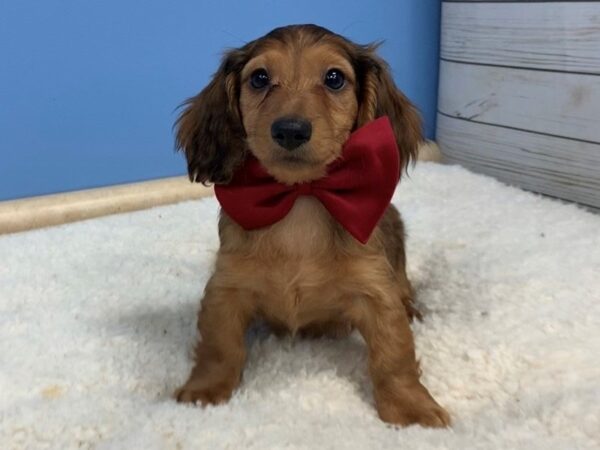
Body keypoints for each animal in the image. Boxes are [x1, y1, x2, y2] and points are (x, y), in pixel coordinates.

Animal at [176, 24, 448, 428]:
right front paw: (204, 391)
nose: (290, 130)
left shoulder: (375, 292)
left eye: (334, 78)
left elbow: (393, 355)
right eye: (259, 78)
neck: (301, 200)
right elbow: (219, 346)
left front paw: (411, 408)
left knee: (404, 287)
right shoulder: (227, 287)